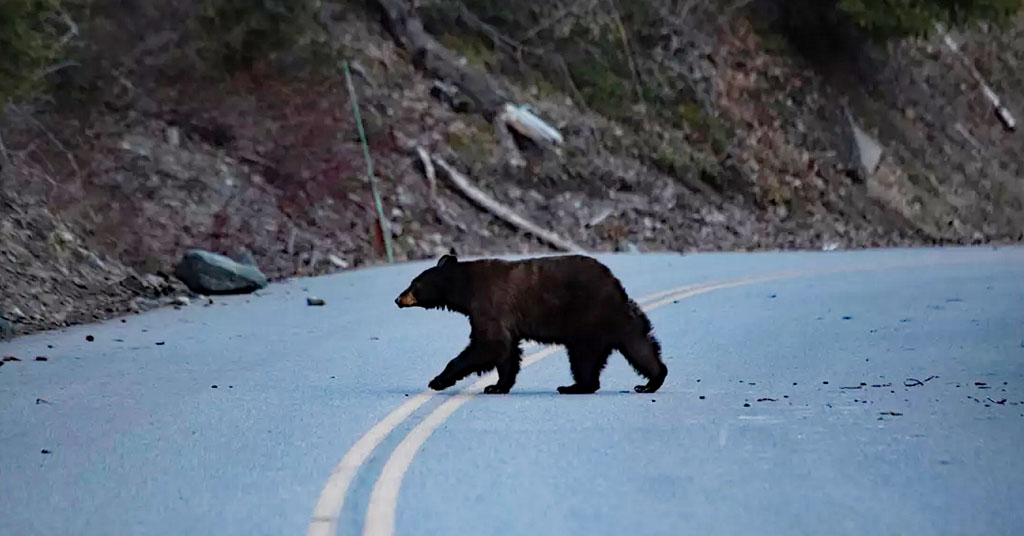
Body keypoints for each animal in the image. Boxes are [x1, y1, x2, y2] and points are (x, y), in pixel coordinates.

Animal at [391, 252, 663, 393]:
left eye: (413, 285)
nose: (397, 298)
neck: (465, 286)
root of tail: (615, 285)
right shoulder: (503, 319)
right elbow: (506, 351)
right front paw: (497, 386)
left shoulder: (489, 304)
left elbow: (491, 344)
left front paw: (438, 380)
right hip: (616, 320)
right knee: (639, 344)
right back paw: (652, 380)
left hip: (589, 318)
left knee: (584, 357)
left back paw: (574, 387)